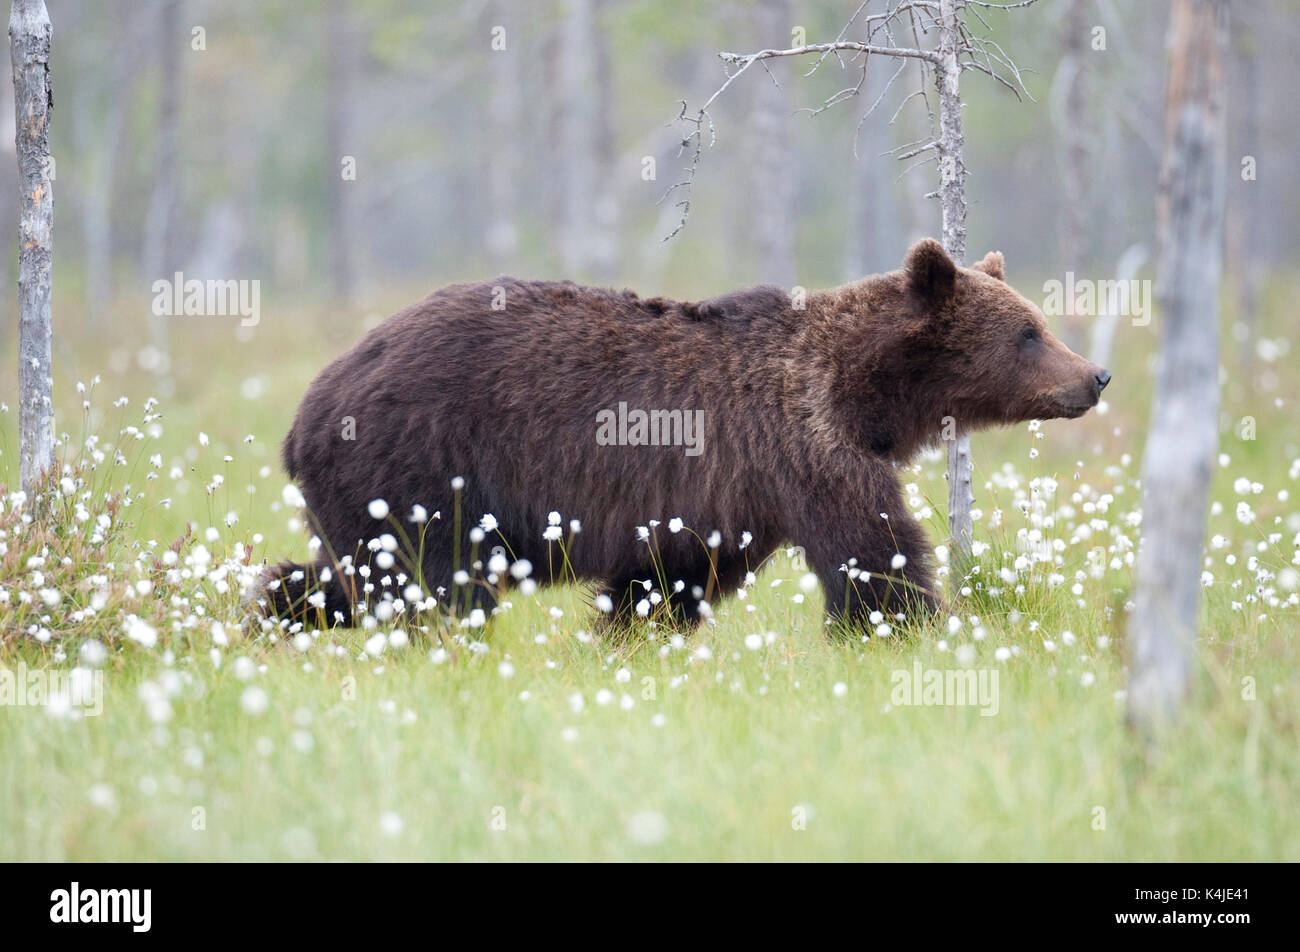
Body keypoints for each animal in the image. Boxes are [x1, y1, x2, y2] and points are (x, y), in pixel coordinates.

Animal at [253, 241, 1107, 632]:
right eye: (1028, 333)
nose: (1094, 375)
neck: (866, 395)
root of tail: (307, 411)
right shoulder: (802, 445)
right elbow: (872, 550)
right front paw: (909, 624)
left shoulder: (712, 498)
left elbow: (665, 579)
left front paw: (627, 635)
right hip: (418, 464)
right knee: (431, 581)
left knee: (347, 573)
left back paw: (274, 611)